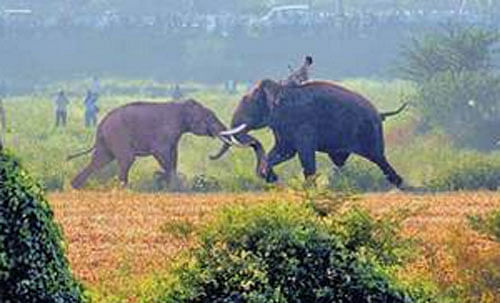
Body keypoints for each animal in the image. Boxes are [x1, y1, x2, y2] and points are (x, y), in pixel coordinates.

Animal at [67, 100, 228, 190]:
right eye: (210, 117)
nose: (210, 156)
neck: (183, 106)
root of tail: (101, 124)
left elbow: (174, 155)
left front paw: (172, 185)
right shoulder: (165, 132)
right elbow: (162, 154)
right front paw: (175, 187)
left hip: (107, 140)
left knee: (99, 161)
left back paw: (75, 186)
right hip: (118, 134)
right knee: (126, 159)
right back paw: (124, 189)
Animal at [210, 79, 406, 188]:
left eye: (247, 102)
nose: (210, 157)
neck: (279, 88)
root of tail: (379, 113)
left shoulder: (302, 123)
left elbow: (303, 153)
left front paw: (307, 187)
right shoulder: (283, 126)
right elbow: (284, 152)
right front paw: (269, 176)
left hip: (370, 132)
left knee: (379, 158)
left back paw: (400, 184)